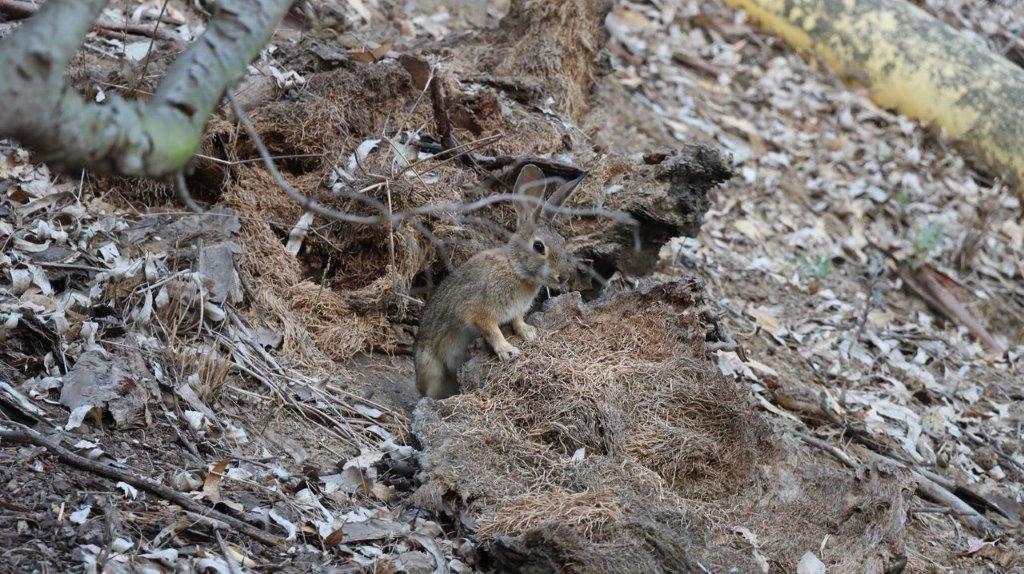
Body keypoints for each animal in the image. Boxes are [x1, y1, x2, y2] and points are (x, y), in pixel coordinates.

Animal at [411, 163, 581, 399]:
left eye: (563, 242)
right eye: (539, 246)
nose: (563, 277)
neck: (515, 269)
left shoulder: (515, 310)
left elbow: (517, 319)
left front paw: (528, 332)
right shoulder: (477, 310)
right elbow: (492, 330)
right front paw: (508, 351)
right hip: (432, 369)